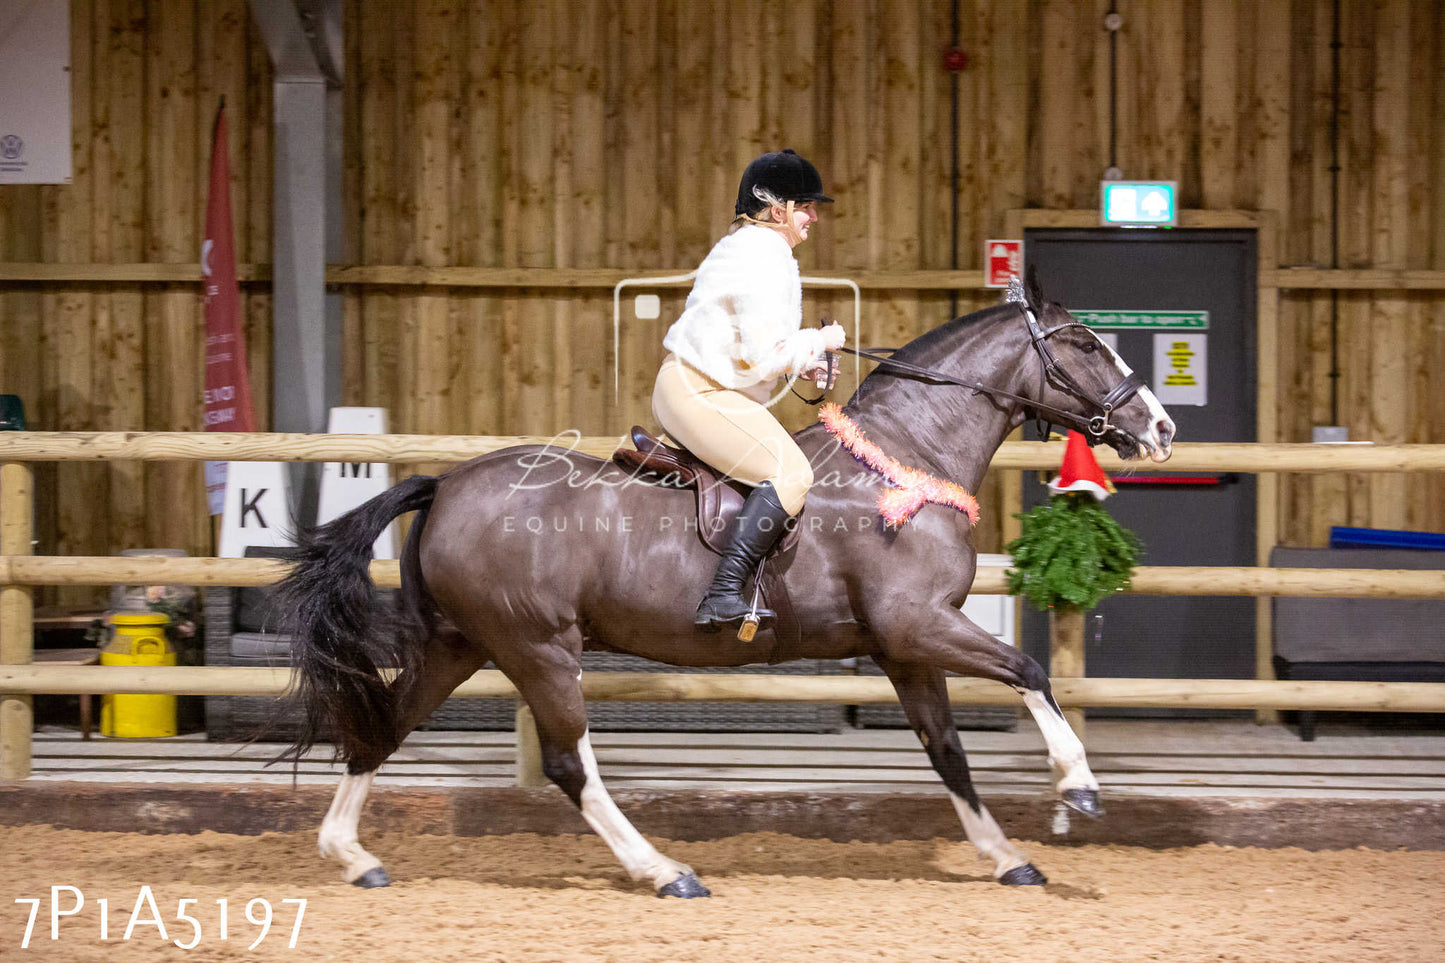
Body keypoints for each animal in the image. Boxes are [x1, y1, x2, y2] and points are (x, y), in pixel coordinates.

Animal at [278, 271, 1173, 890]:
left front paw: (1005, 855)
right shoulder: (917, 623)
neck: (901, 457)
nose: (1160, 427)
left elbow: (947, 753)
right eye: (1084, 344)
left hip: (459, 643)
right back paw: (664, 871)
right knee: (568, 765)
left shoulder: (904, 650)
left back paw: (350, 854)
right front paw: (1078, 787)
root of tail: (447, 483)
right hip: (538, 648)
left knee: (382, 727)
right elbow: (1028, 670)